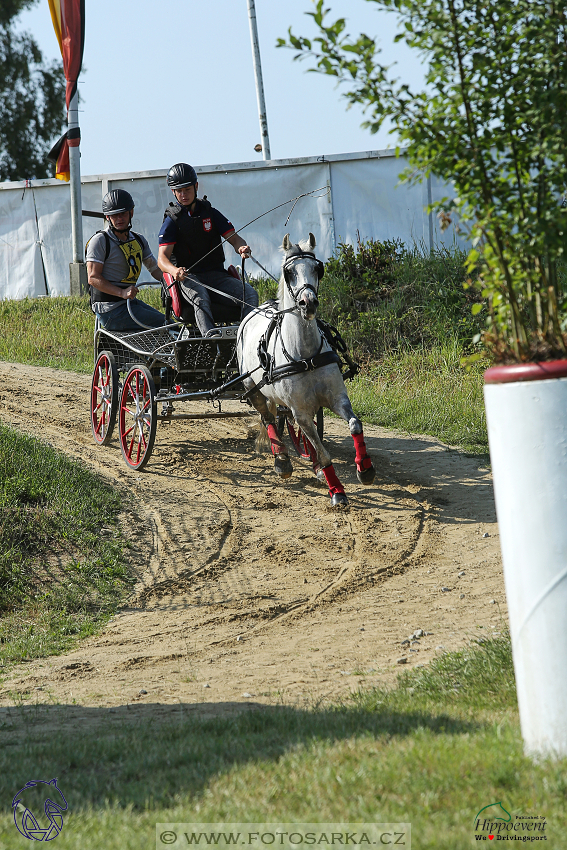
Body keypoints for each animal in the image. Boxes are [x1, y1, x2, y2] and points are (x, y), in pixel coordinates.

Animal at [237, 232, 374, 504]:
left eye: (317, 268)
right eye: (289, 272)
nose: (307, 303)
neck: (306, 355)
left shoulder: (337, 398)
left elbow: (355, 425)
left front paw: (364, 468)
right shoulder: (299, 410)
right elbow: (323, 451)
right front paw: (337, 490)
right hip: (253, 389)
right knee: (268, 418)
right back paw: (281, 460)